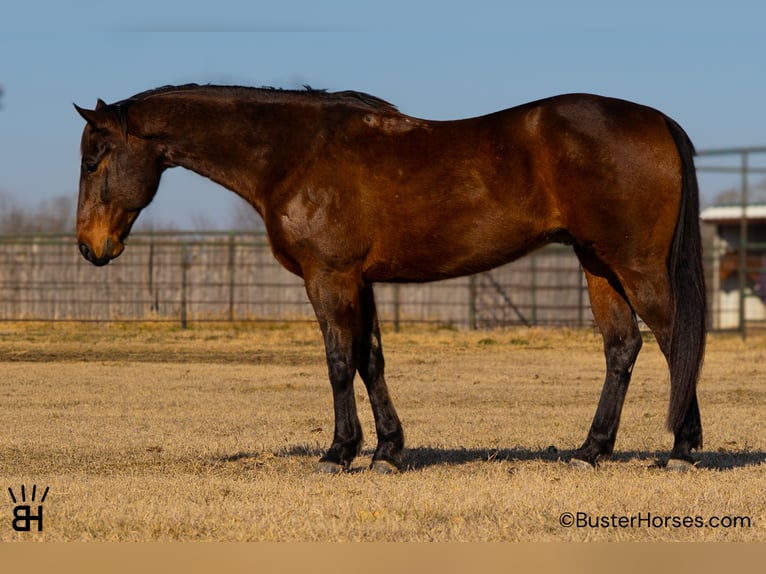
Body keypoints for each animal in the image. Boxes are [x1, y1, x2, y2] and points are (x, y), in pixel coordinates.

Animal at [74, 84, 706, 473]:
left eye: (93, 158)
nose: (89, 247)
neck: (295, 154)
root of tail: (657, 120)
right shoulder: (362, 281)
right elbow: (370, 360)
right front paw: (387, 452)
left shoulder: (328, 277)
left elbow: (337, 361)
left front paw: (338, 452)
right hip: (599, 266)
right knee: (622, 347)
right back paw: (591, 449)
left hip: (635, 264)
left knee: (676, 342)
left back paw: (681, 449)